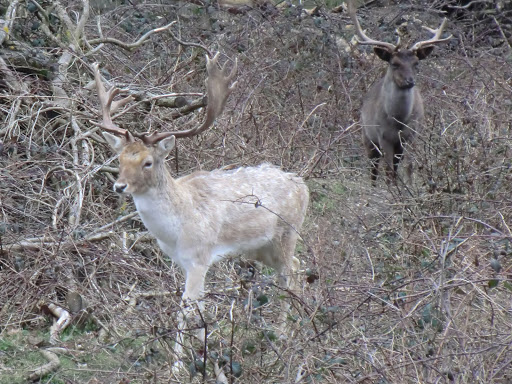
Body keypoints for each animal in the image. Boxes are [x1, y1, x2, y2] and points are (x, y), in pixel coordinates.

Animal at [92, 54, 308, 368]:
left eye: (148, 162)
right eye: (119, 159)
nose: (119, 186)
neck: (177, 227)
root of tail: (302, 184)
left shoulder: (200, 256)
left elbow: (186, 306)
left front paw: (178, 365)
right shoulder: (183, 261)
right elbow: (201, 305)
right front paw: (202, 349)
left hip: (287, 232)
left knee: (289, 274)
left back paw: (283, 335)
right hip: (262, 248)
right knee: (298, 267)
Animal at [348, 2, 452, 183]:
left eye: (416, 63)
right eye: (394, 63)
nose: (410, 81)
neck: (398, 120)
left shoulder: (411, 135)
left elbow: (408, 167)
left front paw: (409, 187)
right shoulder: (383, 136)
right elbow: (388, 170)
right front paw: (391, 189)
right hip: (366, 135)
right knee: (373, 168)